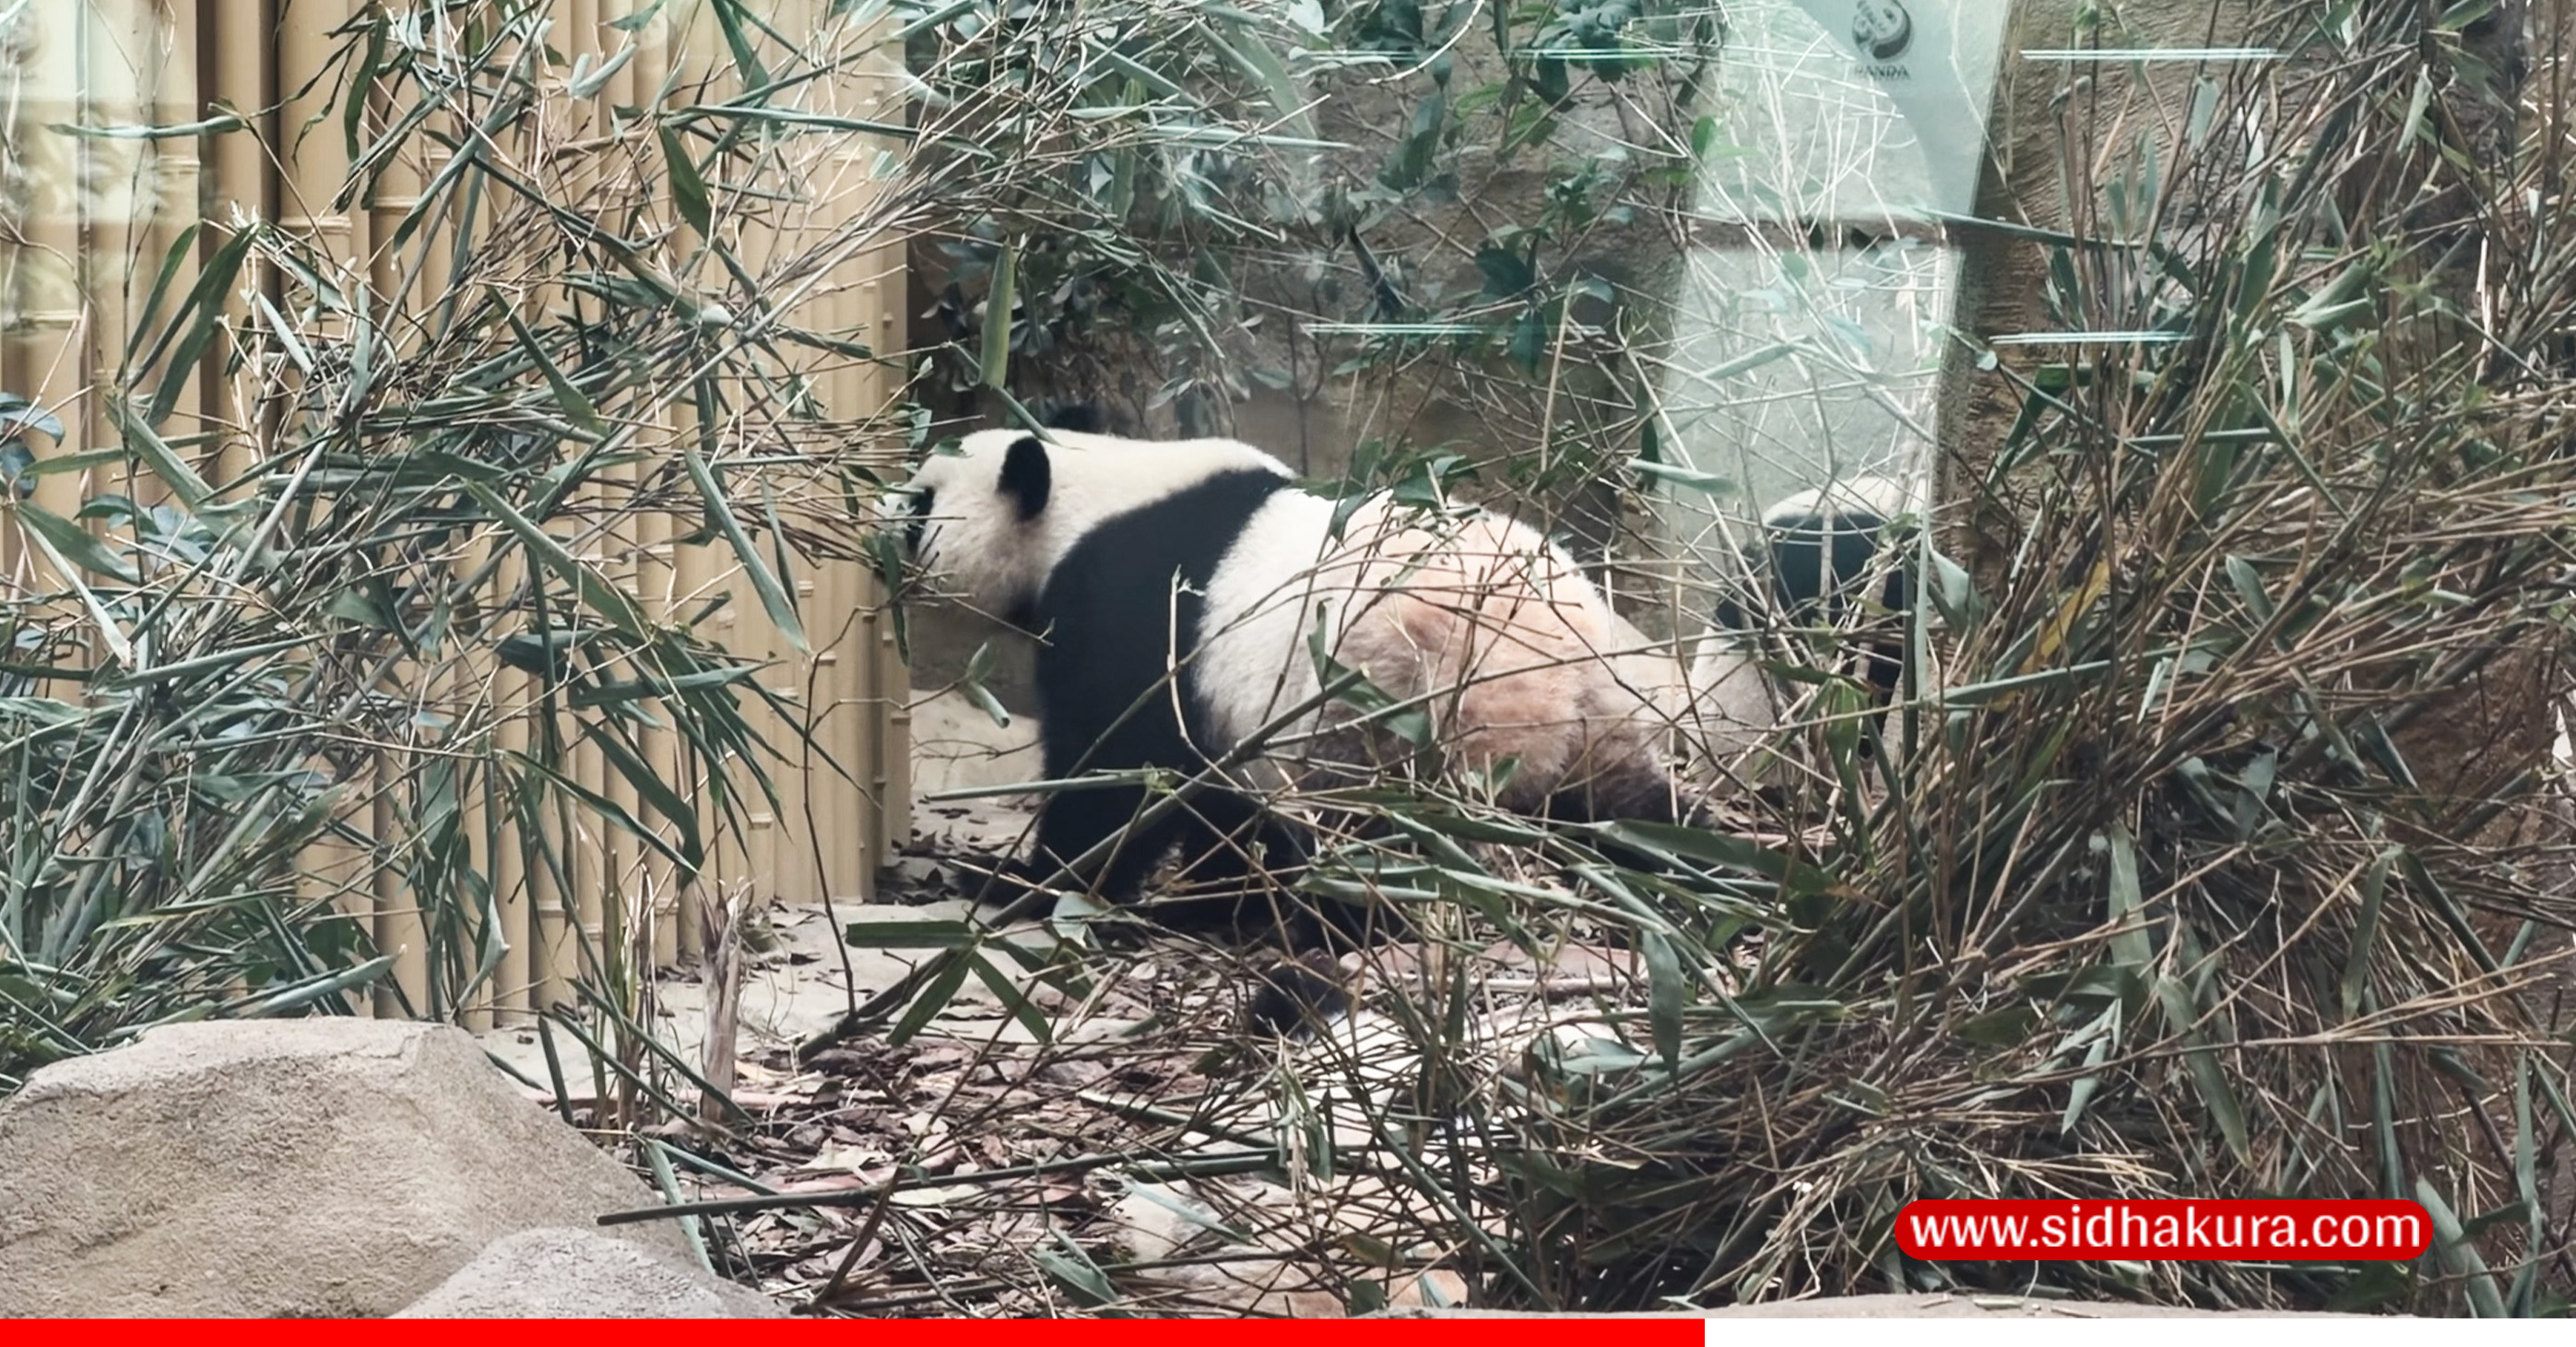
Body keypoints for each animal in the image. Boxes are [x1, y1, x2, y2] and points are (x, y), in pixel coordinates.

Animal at [892, 416, 1701, 945]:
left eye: (919, 506)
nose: (875, 529)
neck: (1088, 495)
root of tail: (1550, 655)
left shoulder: (1137, 604)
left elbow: (1117, 770)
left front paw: (1026, 882)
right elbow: (1210, 800)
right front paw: (1218, 896)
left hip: (1396, 709)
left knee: (1374, 845)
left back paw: (1332, 925)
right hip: (1600, 709)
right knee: (1631, 806)